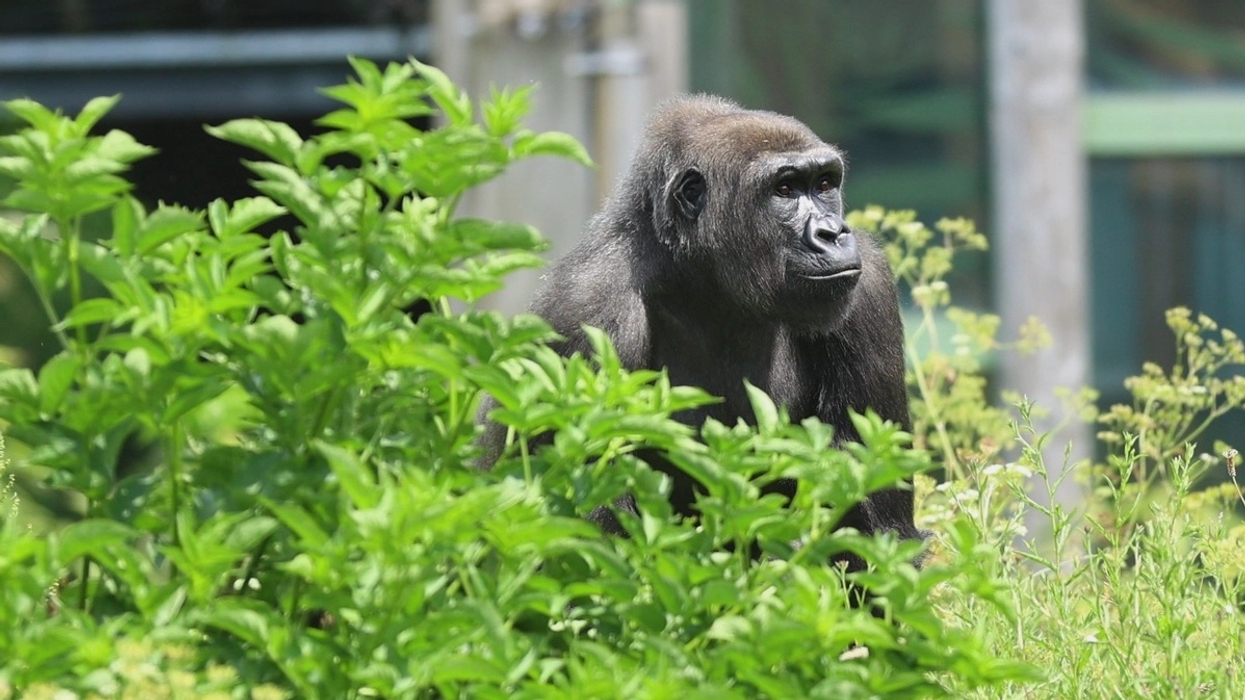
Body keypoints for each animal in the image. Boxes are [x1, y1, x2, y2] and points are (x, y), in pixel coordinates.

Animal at [480, 94, 924, 570]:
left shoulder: (868, 286)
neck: (703, 278)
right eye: (785, 190)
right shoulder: (582, 312)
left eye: (824, 183)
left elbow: (880, 524)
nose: (833, 233)